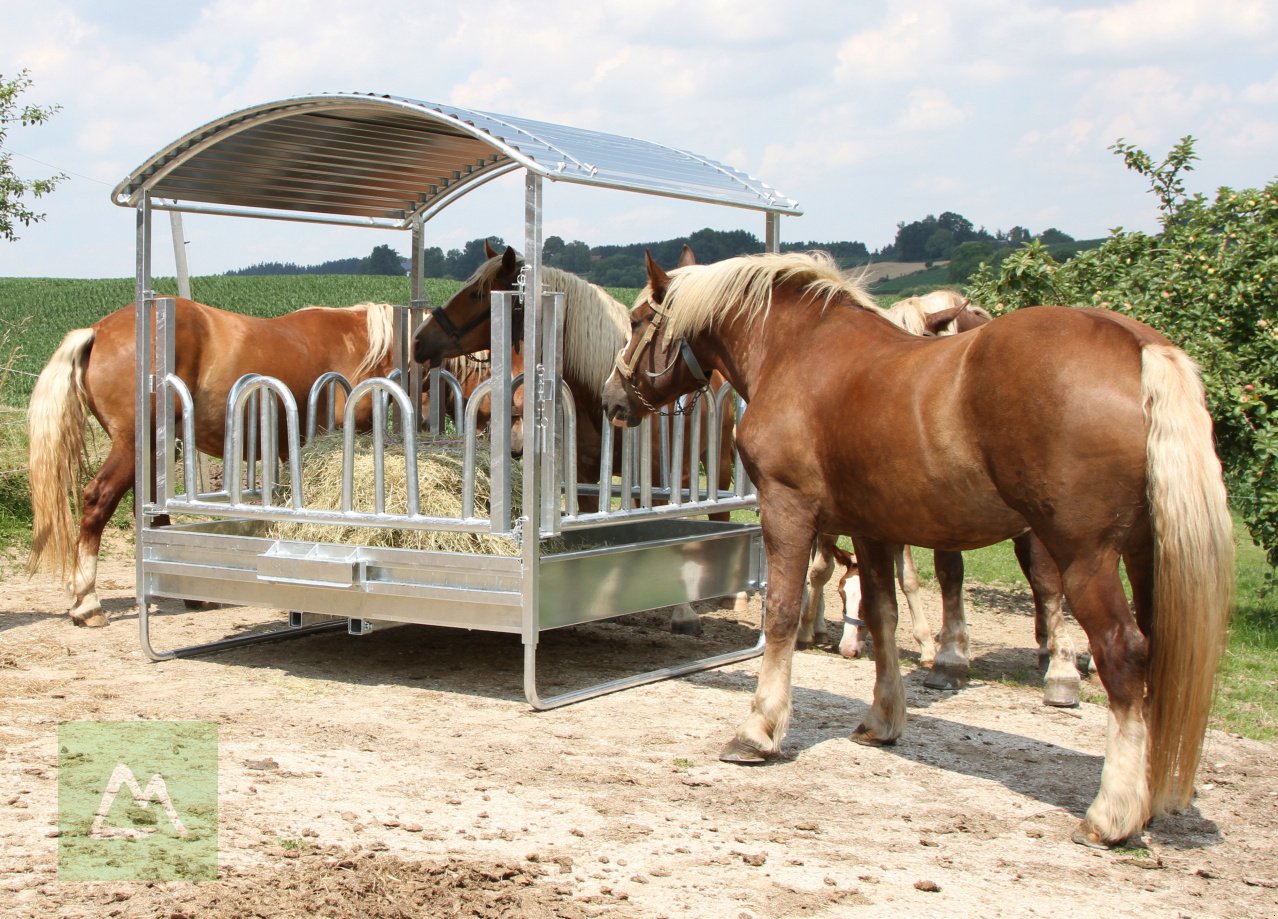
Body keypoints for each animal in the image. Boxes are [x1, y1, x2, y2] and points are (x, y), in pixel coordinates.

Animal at [28, 297, 398, 628]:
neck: (362, 345)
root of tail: (97, 332)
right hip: (131, 445)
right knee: (98, 499)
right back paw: (88, 603)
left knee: (153, 511)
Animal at [603, 246, 1231, 848]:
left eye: (636, 322)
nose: (612, 399)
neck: (796, 352)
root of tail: (1139, 346)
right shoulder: (872, 528)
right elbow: (882, 615)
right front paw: (882, 719)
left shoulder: (787, 509)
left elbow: (780, 613)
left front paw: (758, 731)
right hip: (1147, 555)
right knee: (1158, 649)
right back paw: (1144, 800)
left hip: (1085, 555)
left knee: (1122, 651)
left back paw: (1110, 813)